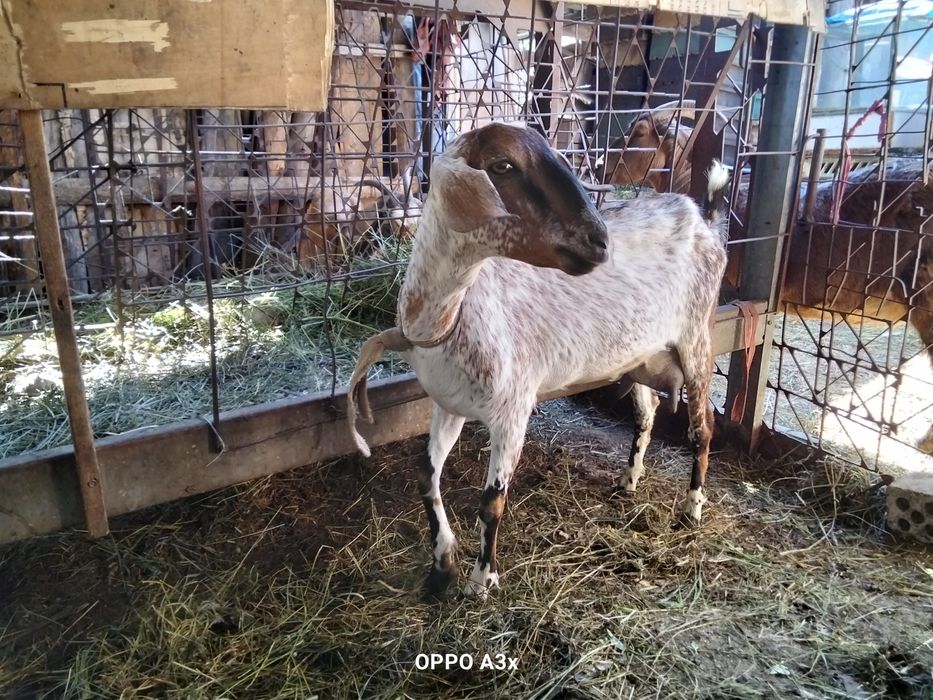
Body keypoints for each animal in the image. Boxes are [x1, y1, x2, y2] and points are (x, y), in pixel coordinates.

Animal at [346, 122, 729, 599]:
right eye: (503, 165)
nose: (599, 242)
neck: (449, 315)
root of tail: (703, 217)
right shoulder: (448, 405)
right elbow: (426, 478)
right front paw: (441, 567)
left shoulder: (513, 408)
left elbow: (492, 501)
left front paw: (482, 580)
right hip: (640, 352)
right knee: (648, 412)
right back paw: (628, 481)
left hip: (697, 340)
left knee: (703, 429)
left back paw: (692, 508)